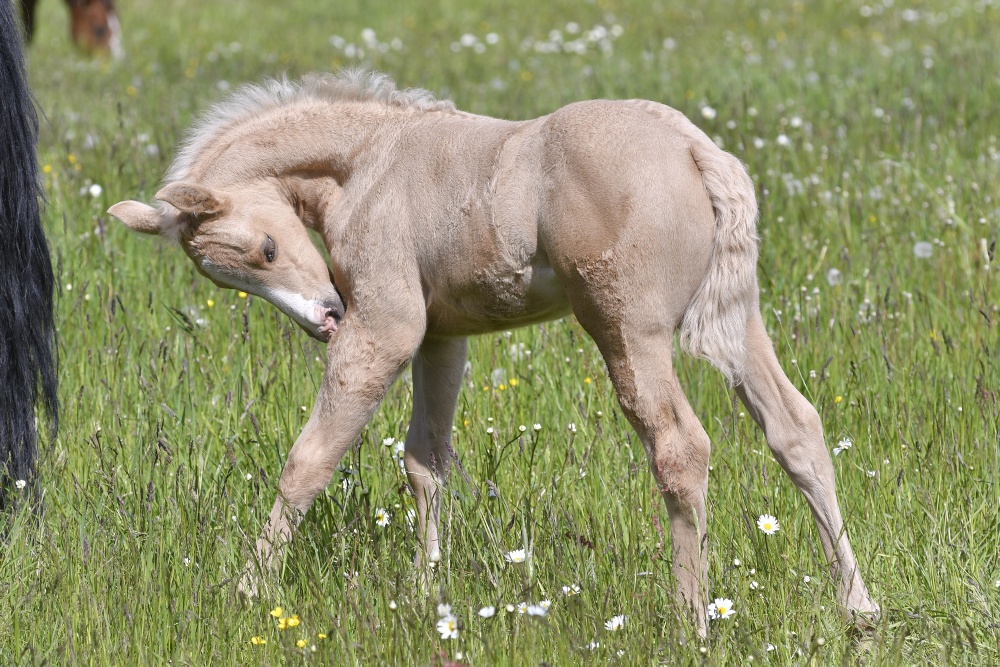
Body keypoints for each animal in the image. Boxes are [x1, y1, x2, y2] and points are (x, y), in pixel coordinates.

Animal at [107, 72, 876, 632]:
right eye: (227, 278)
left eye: (265, 248)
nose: (325, 318)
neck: (369, 164)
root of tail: (696, 150)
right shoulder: (442, 337)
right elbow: (425, 461)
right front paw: (426, 593)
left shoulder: (386, 325)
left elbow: (309, 460)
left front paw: (247, 588)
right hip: (739, 319)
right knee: (797, 429)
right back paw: (859, 610)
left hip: (628, 331)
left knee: (680, 447)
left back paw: (691, 622)